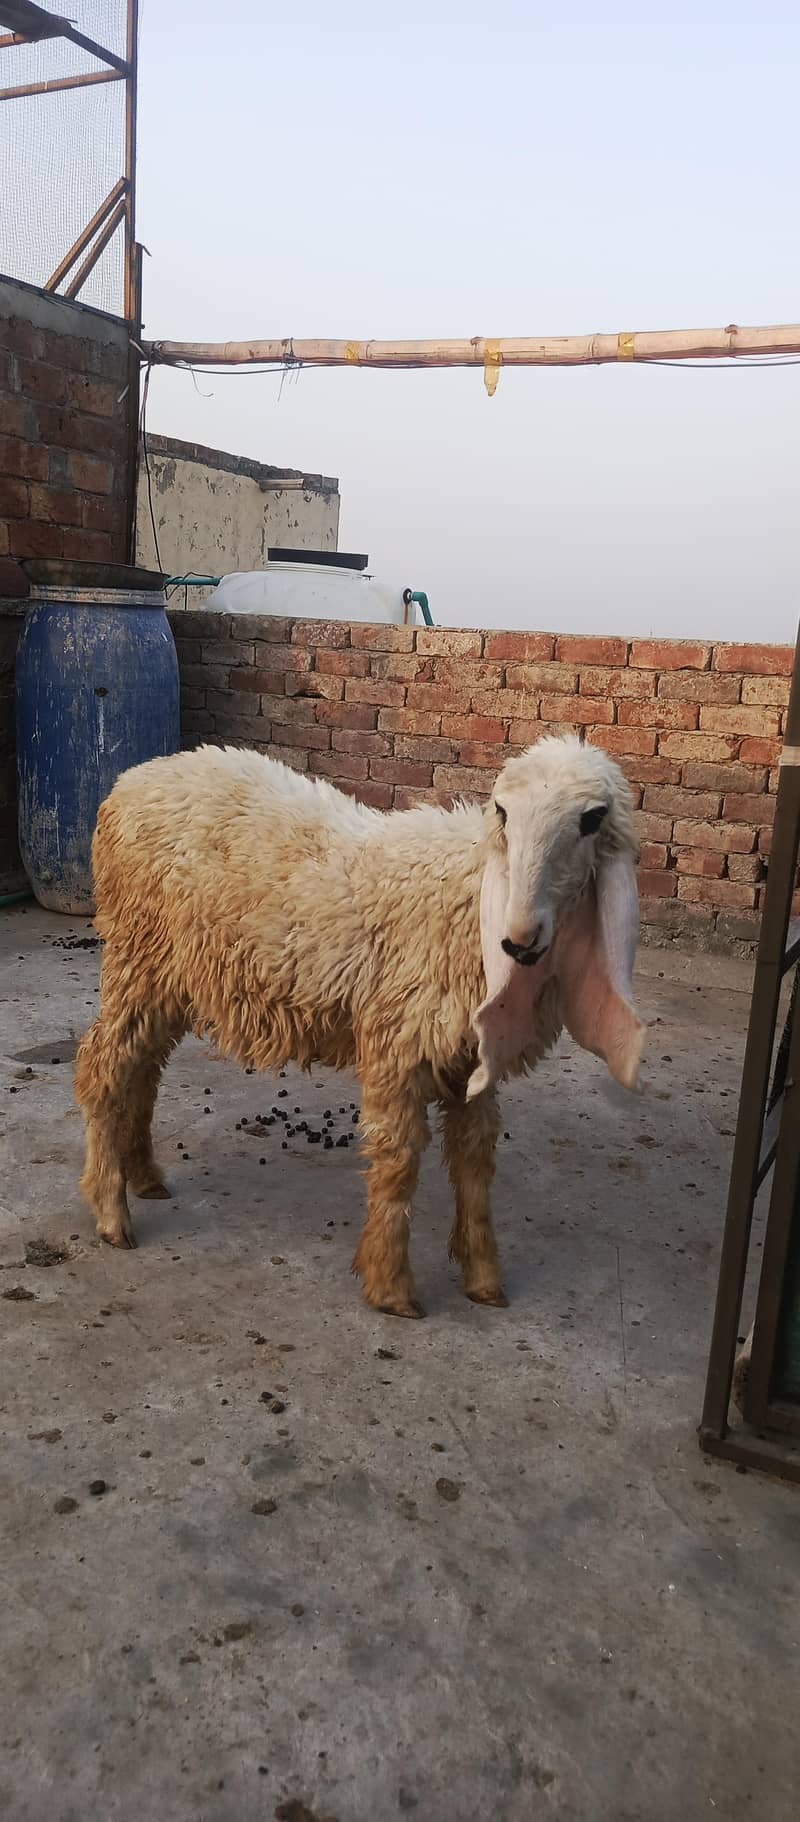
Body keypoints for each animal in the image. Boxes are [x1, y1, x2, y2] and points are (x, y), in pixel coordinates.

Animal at [74, 733, 644, 1318]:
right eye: (503, 812)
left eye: (592, 819)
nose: (519, 938)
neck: (466, 896)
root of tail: (129, 782)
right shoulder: (398, 1042)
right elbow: (398, 1162)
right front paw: (391, 1287)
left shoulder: (469, 1060)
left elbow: (475, 1162)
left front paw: (484, 1279)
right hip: (137, 953)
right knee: (103, 1067)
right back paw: (110, 1208)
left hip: (170, 975)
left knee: (142, 1069)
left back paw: (143, 1176)